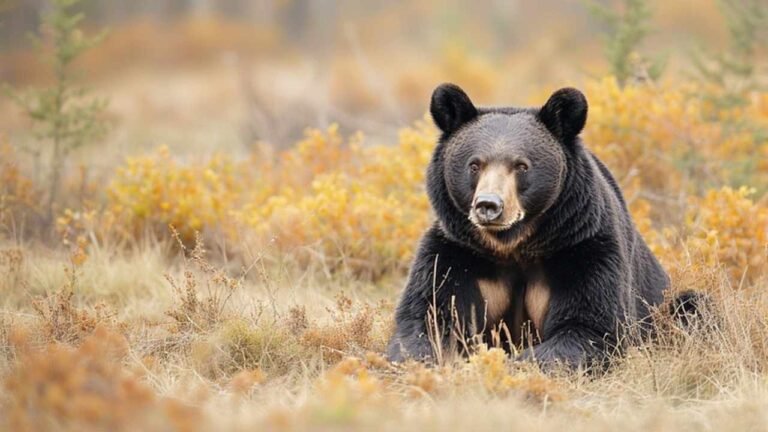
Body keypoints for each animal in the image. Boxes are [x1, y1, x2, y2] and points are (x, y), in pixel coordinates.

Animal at [386, 83, 671, 370]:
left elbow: (589, 326)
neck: (513, 245)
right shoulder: (455, 254)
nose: (488, 205)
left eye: (521, 165)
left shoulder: (585, 250)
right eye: (474, 164)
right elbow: (428, 316)